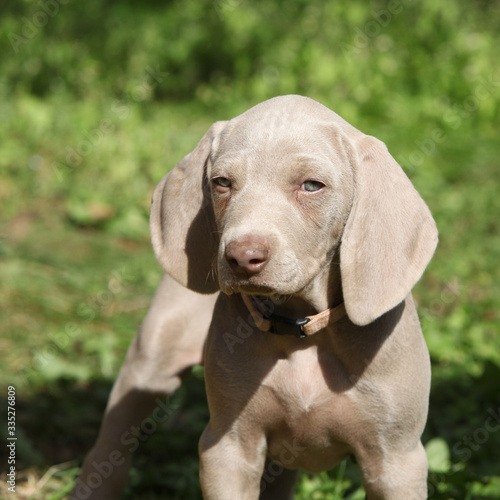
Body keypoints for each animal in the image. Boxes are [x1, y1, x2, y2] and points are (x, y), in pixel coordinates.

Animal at [71, 94, 438, 500]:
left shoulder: (396, 458)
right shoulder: (229, 446)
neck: (302, 328)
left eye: (312, 185)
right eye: (221, 183)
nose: (242, 257)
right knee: (114, 438)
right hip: (153, 356)